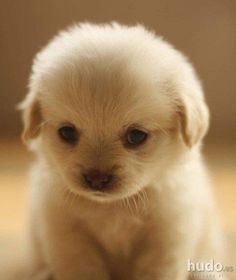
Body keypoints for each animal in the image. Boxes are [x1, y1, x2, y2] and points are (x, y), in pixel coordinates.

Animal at [18, 22, 227, 280]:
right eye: (67, 132)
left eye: (136, 136)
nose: (96, 180)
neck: (113, 208)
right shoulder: (69, 236)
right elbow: (83, 269)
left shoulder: (167, 236)